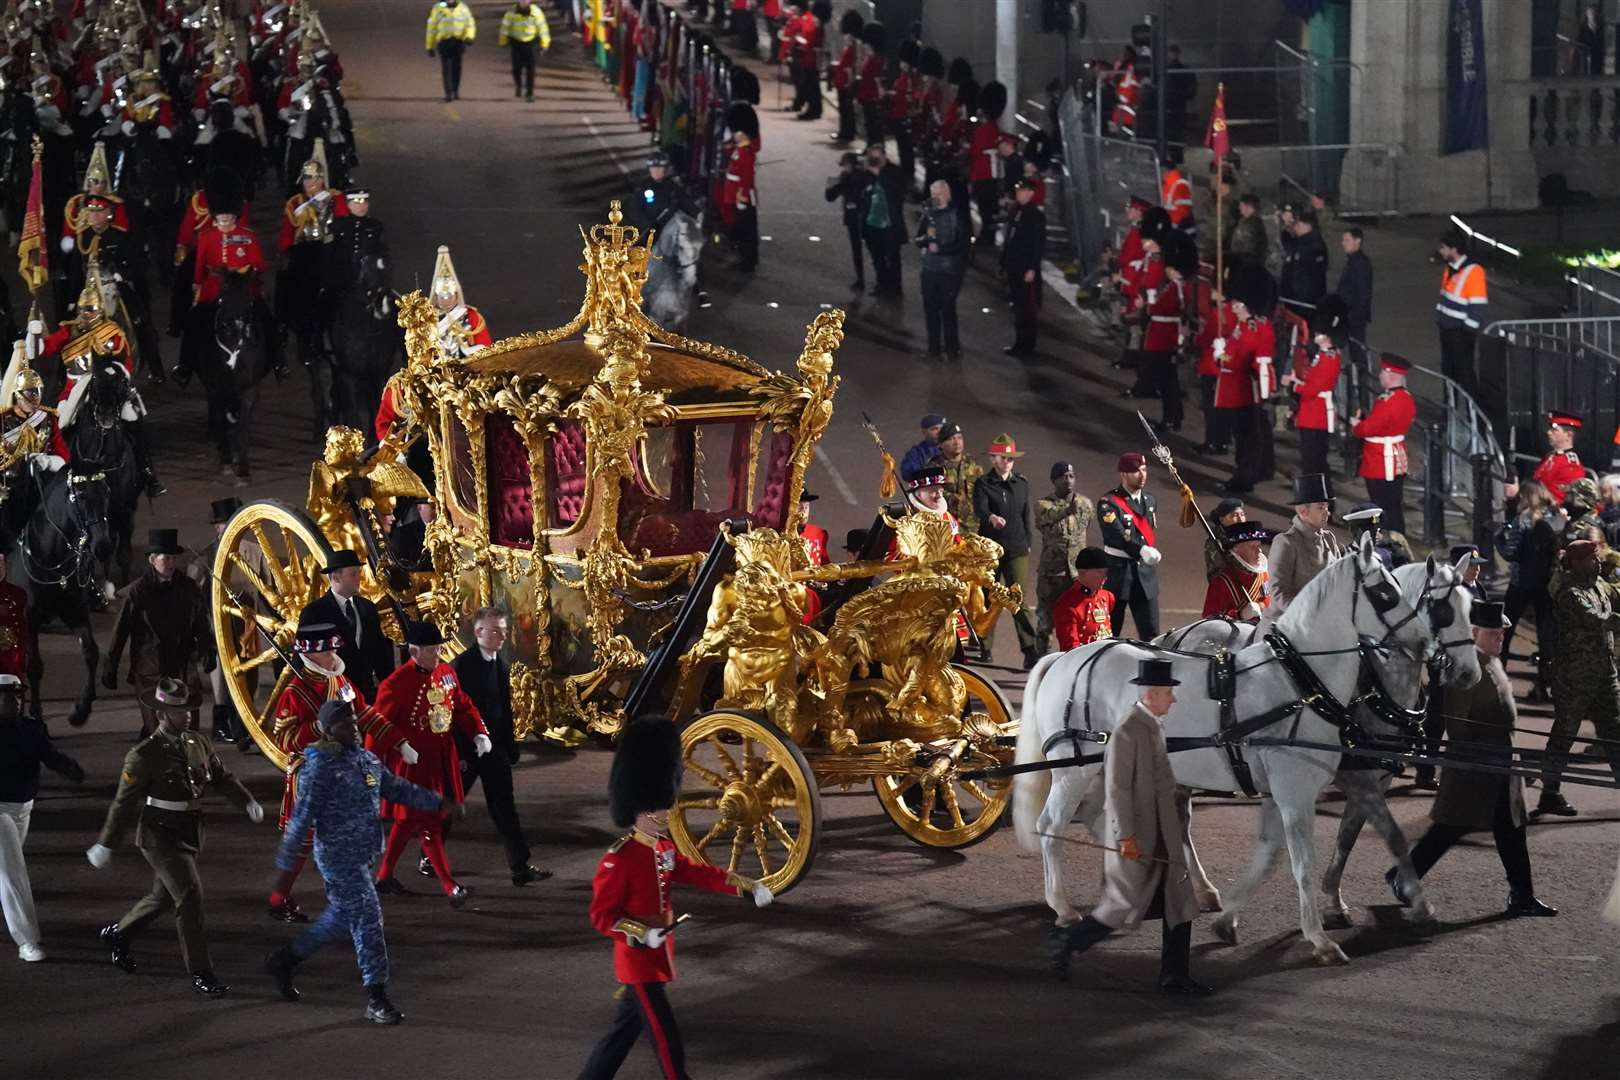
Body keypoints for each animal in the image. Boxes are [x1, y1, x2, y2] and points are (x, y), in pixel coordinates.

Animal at [20, 466, 111, 725]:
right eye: (80, 495)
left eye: (107, 492)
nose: (103, 546)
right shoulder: (29, 616)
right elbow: (34, 665)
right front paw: (35, 713)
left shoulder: (74, 610)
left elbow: (91, 652)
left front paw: (81, 710)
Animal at [1010, 537, 1483, 965]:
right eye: (1386, 593)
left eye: (1470, 605)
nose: (1464, 670)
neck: (1301, 681)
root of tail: (1067, 657)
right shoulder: (1302, 789)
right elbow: (1306, 861)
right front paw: (1320, 937)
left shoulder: (1290, 788)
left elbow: (1278, 854)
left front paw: (1232, 920)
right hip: (1074, 767)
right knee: (1051, 824)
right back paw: (1064, 907)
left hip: (1113, 764)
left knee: (1107, 817)